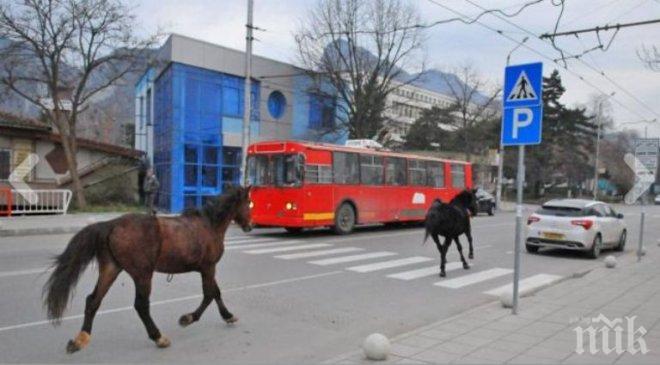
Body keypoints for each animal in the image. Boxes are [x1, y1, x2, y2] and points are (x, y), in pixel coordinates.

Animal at [42, 186, 253, 352]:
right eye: (249, 204)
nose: (250, 226)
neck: (209, 225)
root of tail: (111, 224)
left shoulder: (206, 269)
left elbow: (216, 292)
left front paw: (228, 316)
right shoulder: (208, 267)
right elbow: (209, 294)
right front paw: (188, 318)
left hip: (111, 268)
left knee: (93, 300)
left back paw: (80, 339)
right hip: (142, 274)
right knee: (141, 305)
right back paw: (158, 337)